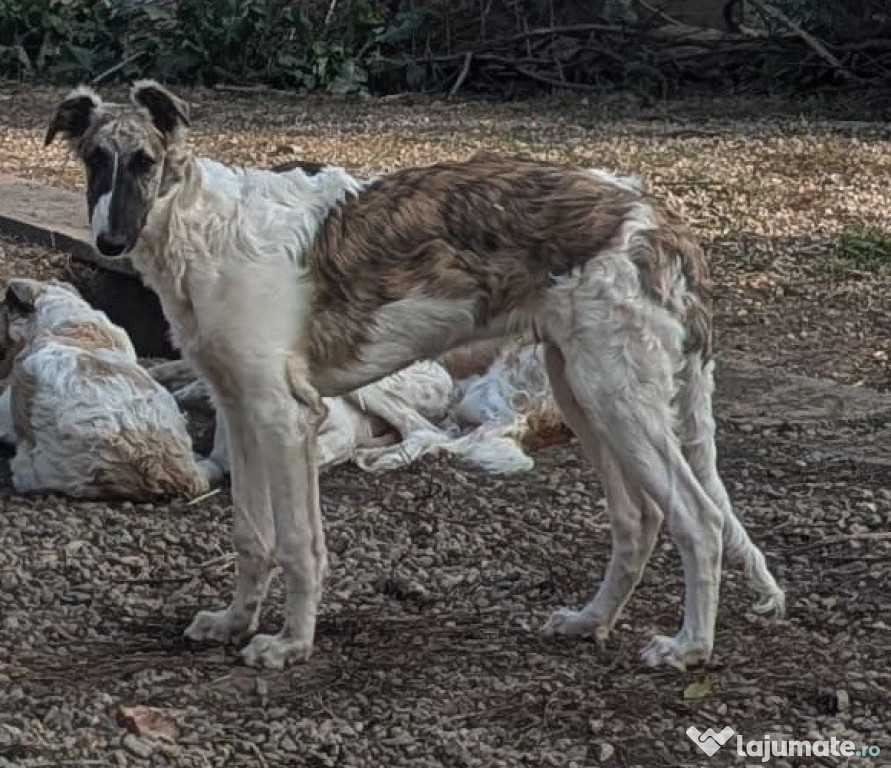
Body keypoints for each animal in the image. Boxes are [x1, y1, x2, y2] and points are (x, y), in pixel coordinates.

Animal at [45, 81, 784, 668]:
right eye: (94, 161)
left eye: (145, 162)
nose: (109, 242)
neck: (202, 227)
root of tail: (661, 221)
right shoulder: (238, 406)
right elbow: (252, 536)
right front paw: (232, 623)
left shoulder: (283, 416)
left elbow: (298, 544)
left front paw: (289, 645)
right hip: (584, 390)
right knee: (637, 519)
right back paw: (589, 621)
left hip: (619, 396)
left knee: (697, 518)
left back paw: (688, 648)